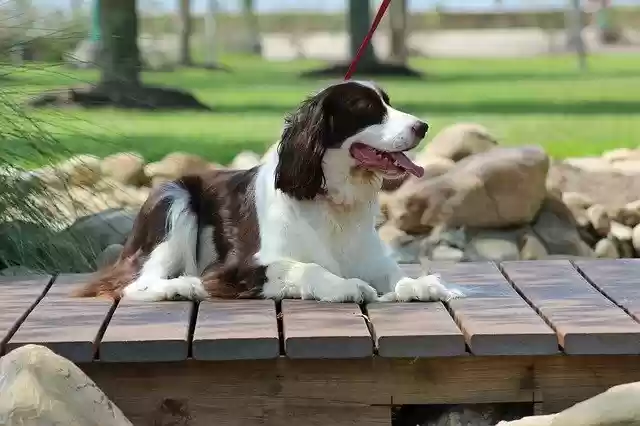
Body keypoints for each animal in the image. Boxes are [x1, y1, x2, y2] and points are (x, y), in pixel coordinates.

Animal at [77, 80, 462, 302]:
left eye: (387, 102)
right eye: (367, 109)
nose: (423, 126)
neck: (329, 200)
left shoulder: (370, 257)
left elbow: (394, 273)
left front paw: (423, 284)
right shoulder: (238, 269)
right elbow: (306, 268)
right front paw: (345, 286)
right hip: (175, 200)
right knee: (132, 283)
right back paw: (181, 286)